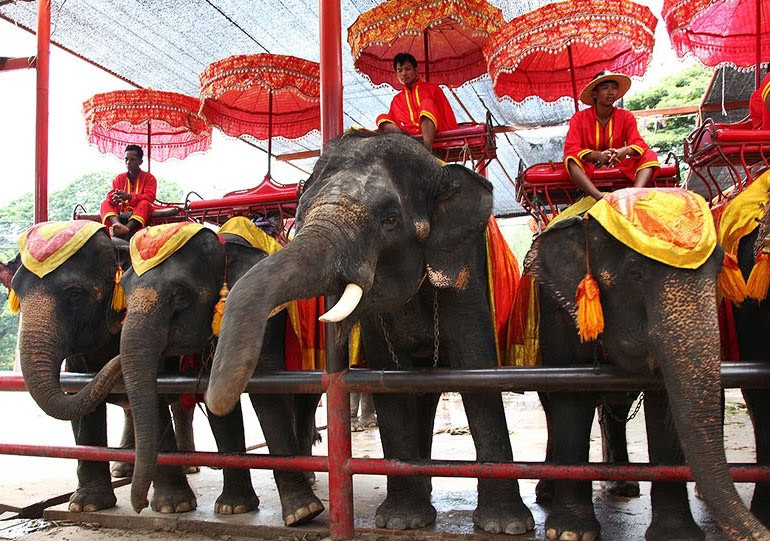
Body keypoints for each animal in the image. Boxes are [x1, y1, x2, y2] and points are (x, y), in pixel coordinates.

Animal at [5, 222, 197, 512]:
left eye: (74, 293)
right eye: (16, 293)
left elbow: (155, 397)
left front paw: (174, 506)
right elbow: (80, 401)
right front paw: (86, 505)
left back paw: (189, 466)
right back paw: (123, 470)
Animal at [119, 221, 323, 524]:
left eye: (180, 294)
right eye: (124, 289)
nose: (139, 506)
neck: (224, 247)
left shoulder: (264, 313)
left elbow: (266, 391)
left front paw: (302, 514)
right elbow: (215, 398)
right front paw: (233, 508)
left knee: (306, 401)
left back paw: (309, 477)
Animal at [206, 132, 536, 535]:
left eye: (390, 220)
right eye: (299, 215)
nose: (214, 398)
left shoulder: (465, 271)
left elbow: (476, 372)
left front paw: (505, 527)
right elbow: (388, 380)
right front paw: (400, 521)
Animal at [528, 209, 770, 541]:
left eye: (720, 267)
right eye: (636, 273)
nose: (761, 533)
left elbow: (663, 400)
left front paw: (677, 536)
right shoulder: (556, 308)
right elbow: (572, 393)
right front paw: (570, 533)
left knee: (617, 408)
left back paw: (624, 486)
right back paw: (548, 493)